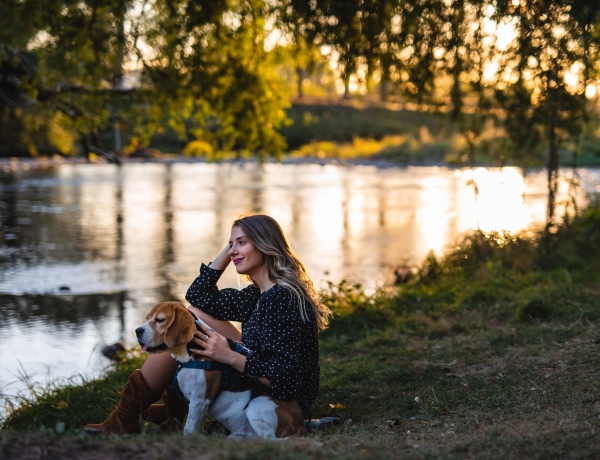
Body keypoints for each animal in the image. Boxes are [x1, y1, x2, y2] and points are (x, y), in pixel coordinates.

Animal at [134, 300, 308, 436]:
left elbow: (188, 429)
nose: (137, 331)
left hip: (258, 405)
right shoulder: (193, 404)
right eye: (147, 318)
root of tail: (301, 422)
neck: (191, 354)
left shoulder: (200, 400)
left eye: (160, 320)